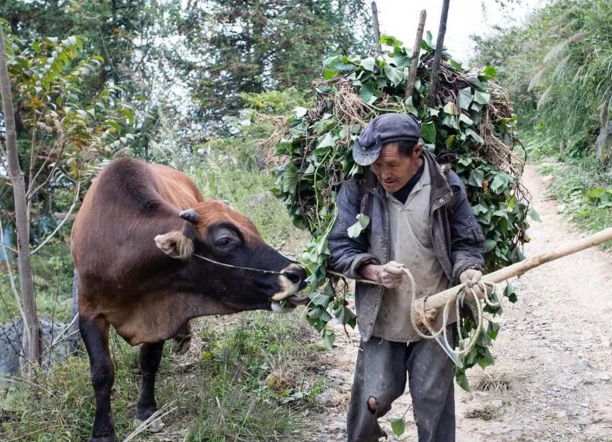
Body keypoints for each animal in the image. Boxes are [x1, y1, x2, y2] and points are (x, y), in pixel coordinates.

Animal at [71, 159, 306, 442]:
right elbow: (102, 372)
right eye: (225, 240)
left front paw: (147, 411)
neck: (122, 249)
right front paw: (102, 432)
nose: (297, 274)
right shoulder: (90, 312)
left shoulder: (161, 313)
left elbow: (149, 361)